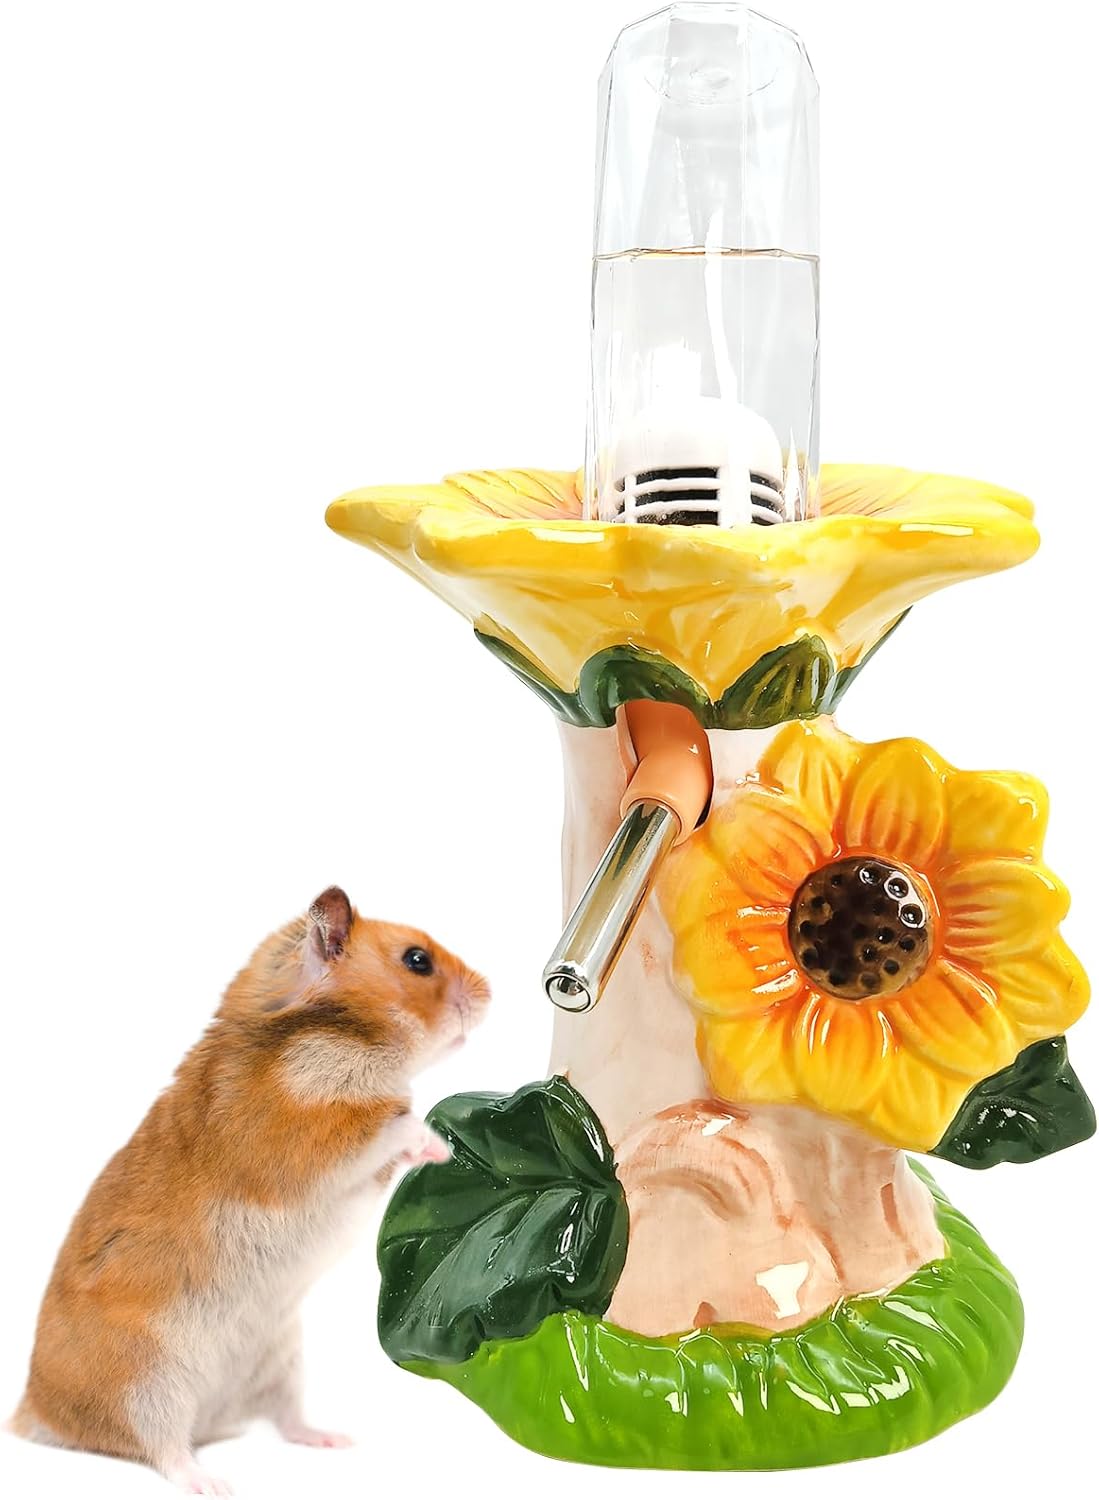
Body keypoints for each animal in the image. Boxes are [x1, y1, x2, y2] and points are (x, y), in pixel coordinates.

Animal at [11, 886, 490, 1495]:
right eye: (417, 960)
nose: (490, 991)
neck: (334, 1036)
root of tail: (33, 1412)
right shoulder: (307, 1142)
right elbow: (389, 1125)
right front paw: (439, 1146)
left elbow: (383, 1161)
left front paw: (430, 1154)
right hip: (146, 1384)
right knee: (165, 1450)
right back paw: (211, 1482)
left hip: (278, 1360)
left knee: (285, 1421)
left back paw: (332, 1440)